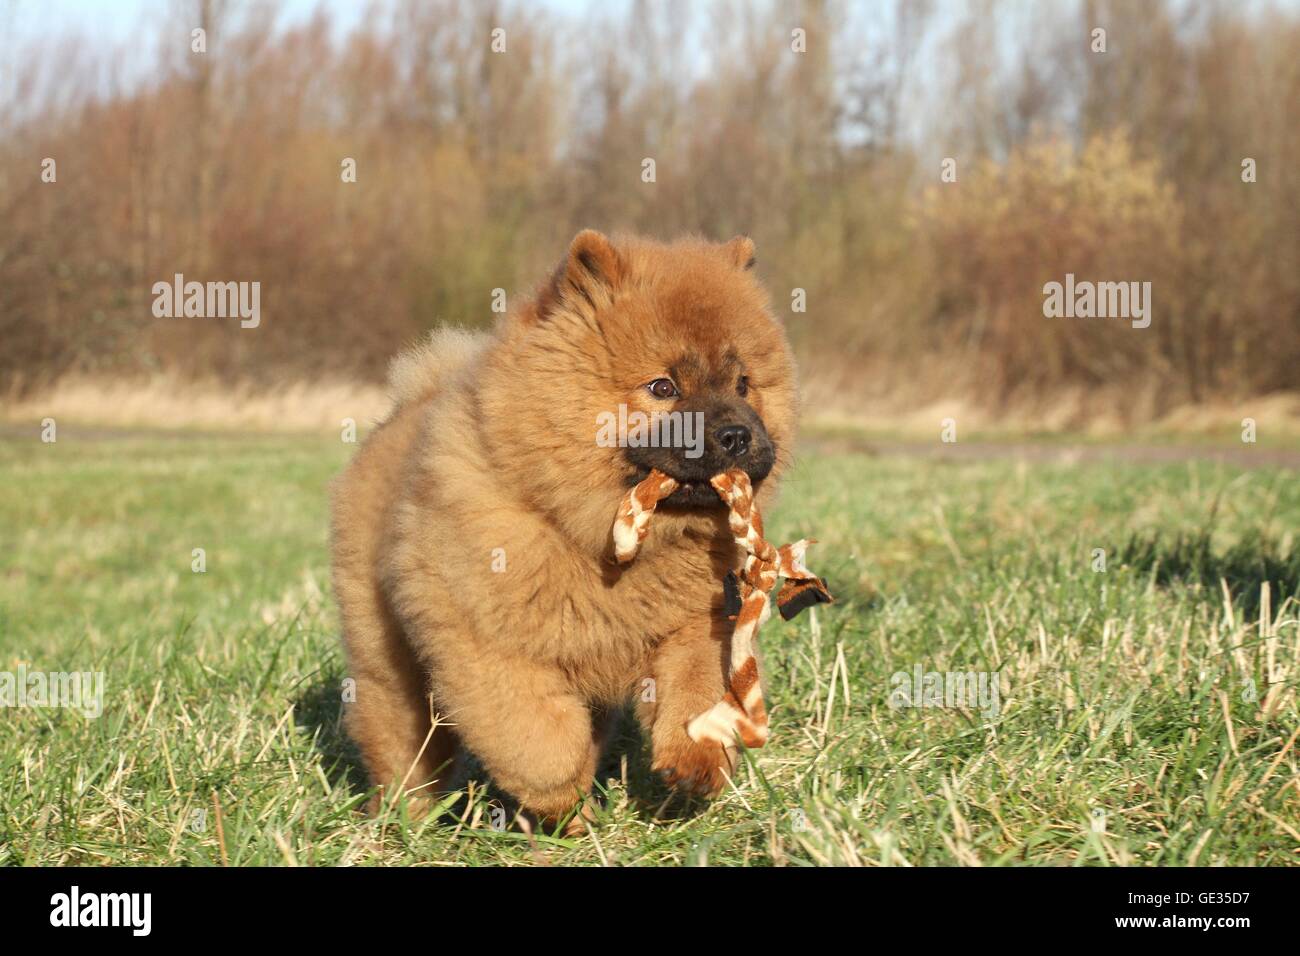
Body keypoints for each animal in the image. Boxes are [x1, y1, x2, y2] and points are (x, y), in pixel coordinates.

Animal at [330, 231, 795, 832]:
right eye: (662, 387)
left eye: (743, 385)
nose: (737, 434)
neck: (609, 544)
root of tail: (408, 405)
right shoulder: (487, 643)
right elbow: (539, 739)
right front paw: (561, 800)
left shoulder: (697, 623)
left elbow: (696, 692)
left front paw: (694, 764)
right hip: (388, 661)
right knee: (400, 741)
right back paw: (404, 820)